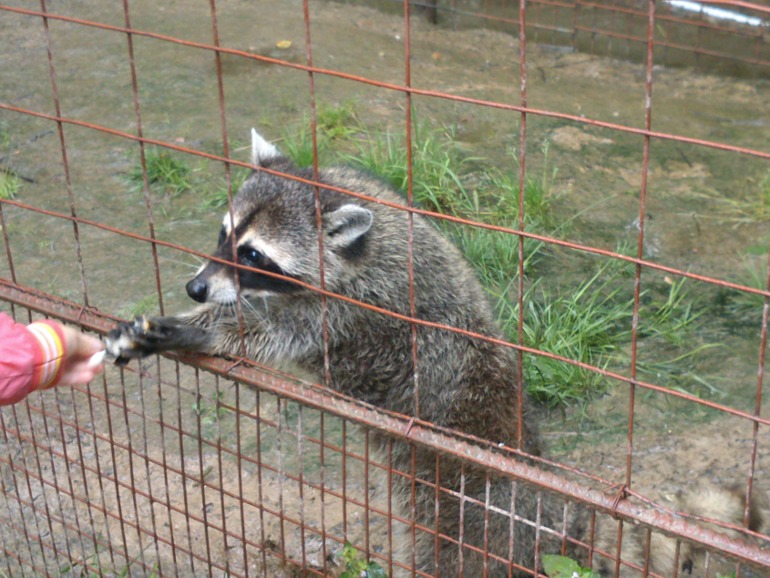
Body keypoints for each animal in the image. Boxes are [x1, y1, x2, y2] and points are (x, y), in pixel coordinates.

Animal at [106, 128, 760, 572]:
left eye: (254, 255)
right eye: (225, 235)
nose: (195, 287)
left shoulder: (358, 307)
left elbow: (280, 333)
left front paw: (200, 327)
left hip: (468, 488)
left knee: (458, 550)